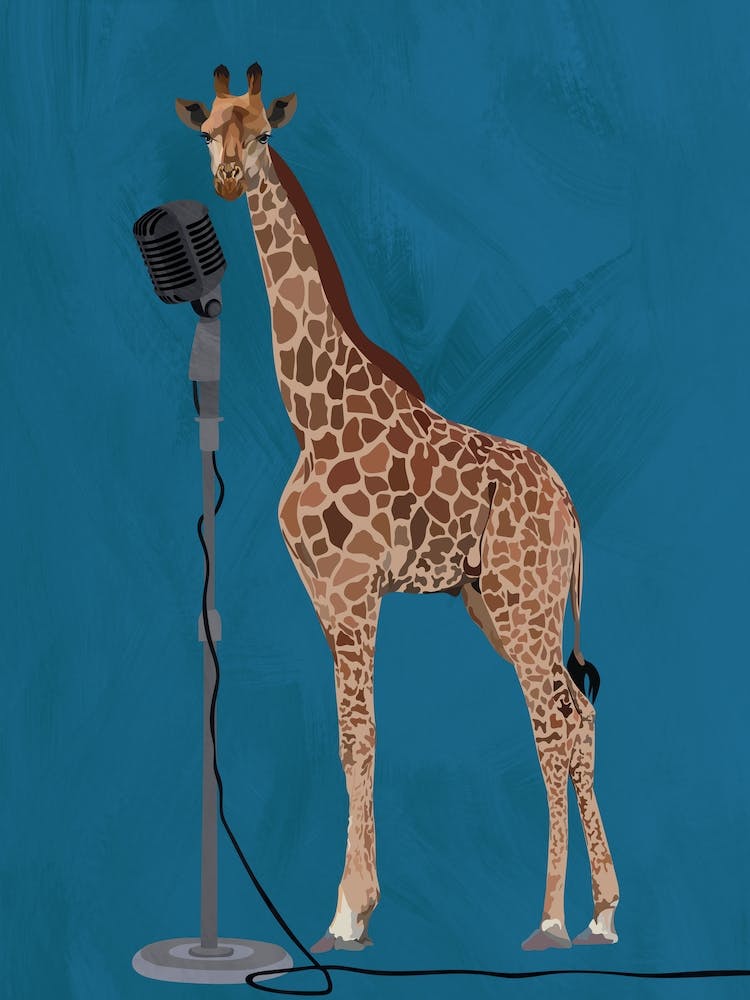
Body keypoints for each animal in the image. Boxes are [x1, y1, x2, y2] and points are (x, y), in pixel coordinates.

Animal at [175, 63, 619, 954]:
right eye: (208, 131)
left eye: (263, 132)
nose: (230, 177)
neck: (310, 410)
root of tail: (571, 506)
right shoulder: (323, 594)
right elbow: (350, 739)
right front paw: (351, 906)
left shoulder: (355, 591)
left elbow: (361, 737)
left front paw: (349, 911)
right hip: (498, 603)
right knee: (577, 712)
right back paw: (602, 912)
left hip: (525, 603)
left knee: (552, 726)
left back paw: (552, 920)